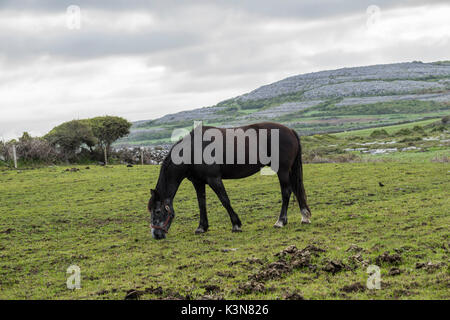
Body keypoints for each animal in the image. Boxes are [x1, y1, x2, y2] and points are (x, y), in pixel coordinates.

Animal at [147, 121, 310, 239]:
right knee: (296, 190)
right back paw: (304, 217)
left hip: (282, 170)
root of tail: (290, 131)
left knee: (286, 192)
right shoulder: (198, 182)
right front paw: (202, 227)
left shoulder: (214, 179)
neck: (192, 150)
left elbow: (224, 200)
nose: (156, 234)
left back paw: (281, 221)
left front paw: (236, 224)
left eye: (157, 211)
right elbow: (201, 203)